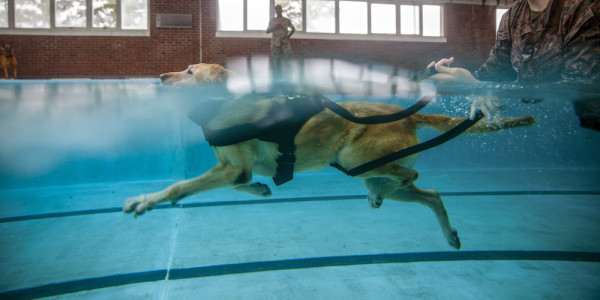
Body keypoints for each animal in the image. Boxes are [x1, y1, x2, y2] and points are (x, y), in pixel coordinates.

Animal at [124, 63, 536, 248]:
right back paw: (446, 233)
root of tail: (409, 114)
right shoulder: (234, 169)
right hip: (370, 170)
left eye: (189, 71)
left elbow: (179, 186)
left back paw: (384, 195)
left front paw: (145, 200)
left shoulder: (229, 169)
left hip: (357, 159)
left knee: (410, 177)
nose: (160, 77)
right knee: (430, 193)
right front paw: (260, 190)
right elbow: (244, 182)